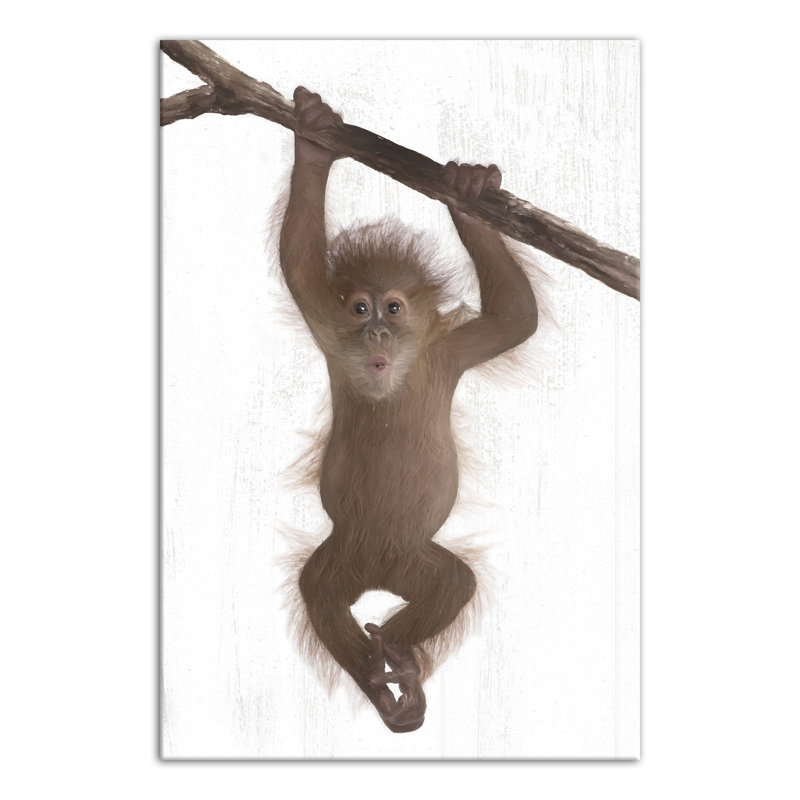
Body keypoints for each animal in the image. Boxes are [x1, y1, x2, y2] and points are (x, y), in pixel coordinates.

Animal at [279, 87, 539, 733]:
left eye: (393, 309)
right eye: (360, 308)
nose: (374, 333)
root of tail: (380, 572)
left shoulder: (449, 353)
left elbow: (517, 318)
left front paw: (469, 196)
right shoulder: (327, 328)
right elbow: (297, 261)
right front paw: (314, 143)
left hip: (414, 561)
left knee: (453, 582)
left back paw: (397, 657)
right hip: (344, 555)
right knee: (318, 591)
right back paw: (378, 680)